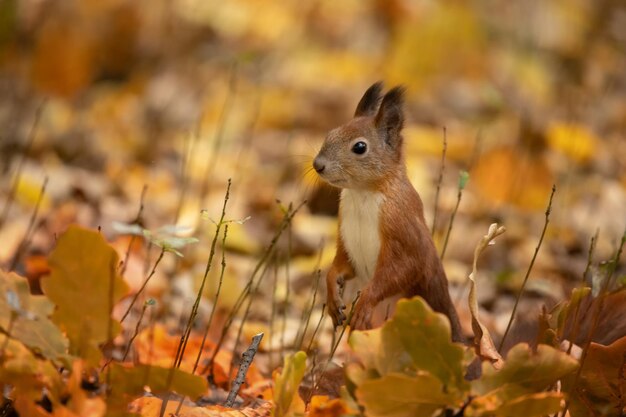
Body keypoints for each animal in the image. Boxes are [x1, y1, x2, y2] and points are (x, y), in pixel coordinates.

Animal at [314, 81, 460, 342]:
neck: (362, 194)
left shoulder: (401, 228)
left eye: (360, 147)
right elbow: (341, 266)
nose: (317, 165)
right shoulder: (346, 237)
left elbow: (401, 269)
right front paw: (333, 296)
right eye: (330, 133)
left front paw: (364, 303)